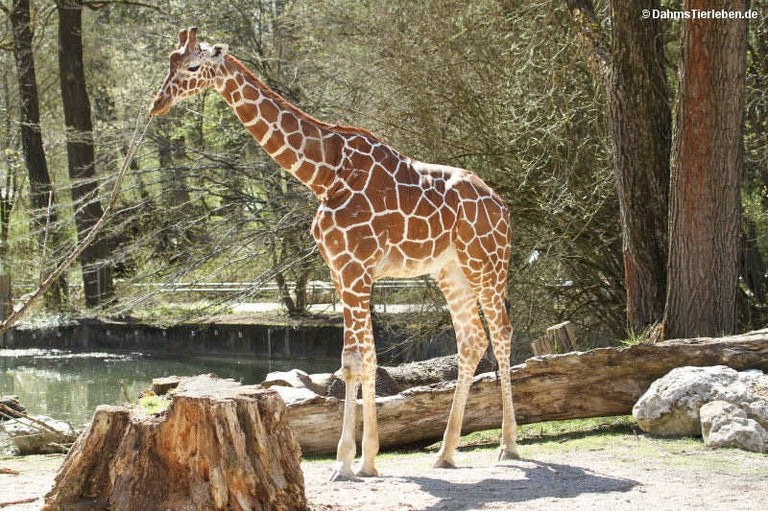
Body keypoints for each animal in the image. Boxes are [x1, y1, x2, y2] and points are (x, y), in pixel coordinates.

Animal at [150, 28, 520, 480]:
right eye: (169, 61)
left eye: (192, 66)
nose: (157, 103)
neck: (323, 174)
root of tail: (502, 205)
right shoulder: (342, 271)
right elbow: (362, 359)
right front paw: (367, 460)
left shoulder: (355, 268)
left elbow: (355, 361)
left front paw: (346, 461)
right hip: (450, 271)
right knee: (472, 339)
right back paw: (445, 453)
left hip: (486, 263)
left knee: (501, 334)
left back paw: (508, 445)